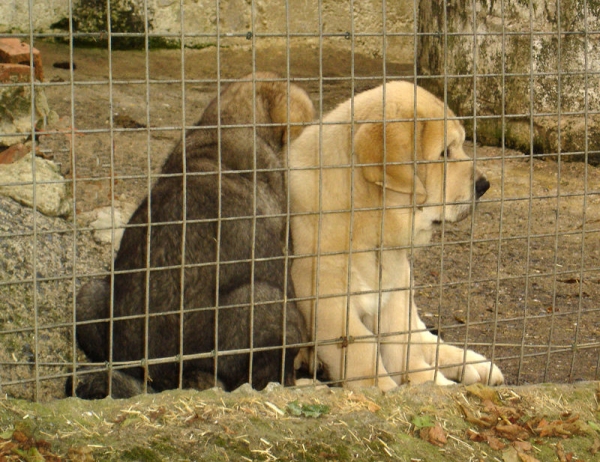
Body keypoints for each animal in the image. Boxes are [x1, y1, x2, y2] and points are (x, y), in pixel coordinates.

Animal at [288, 80, 504, 390]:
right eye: (444, 153)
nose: (484, 185)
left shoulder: (395, 291)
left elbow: (402, 347)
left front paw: (425, 386)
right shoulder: (327, 302)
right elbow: (363, 352)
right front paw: (388, 390)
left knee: (425, 338)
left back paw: (474, 365)